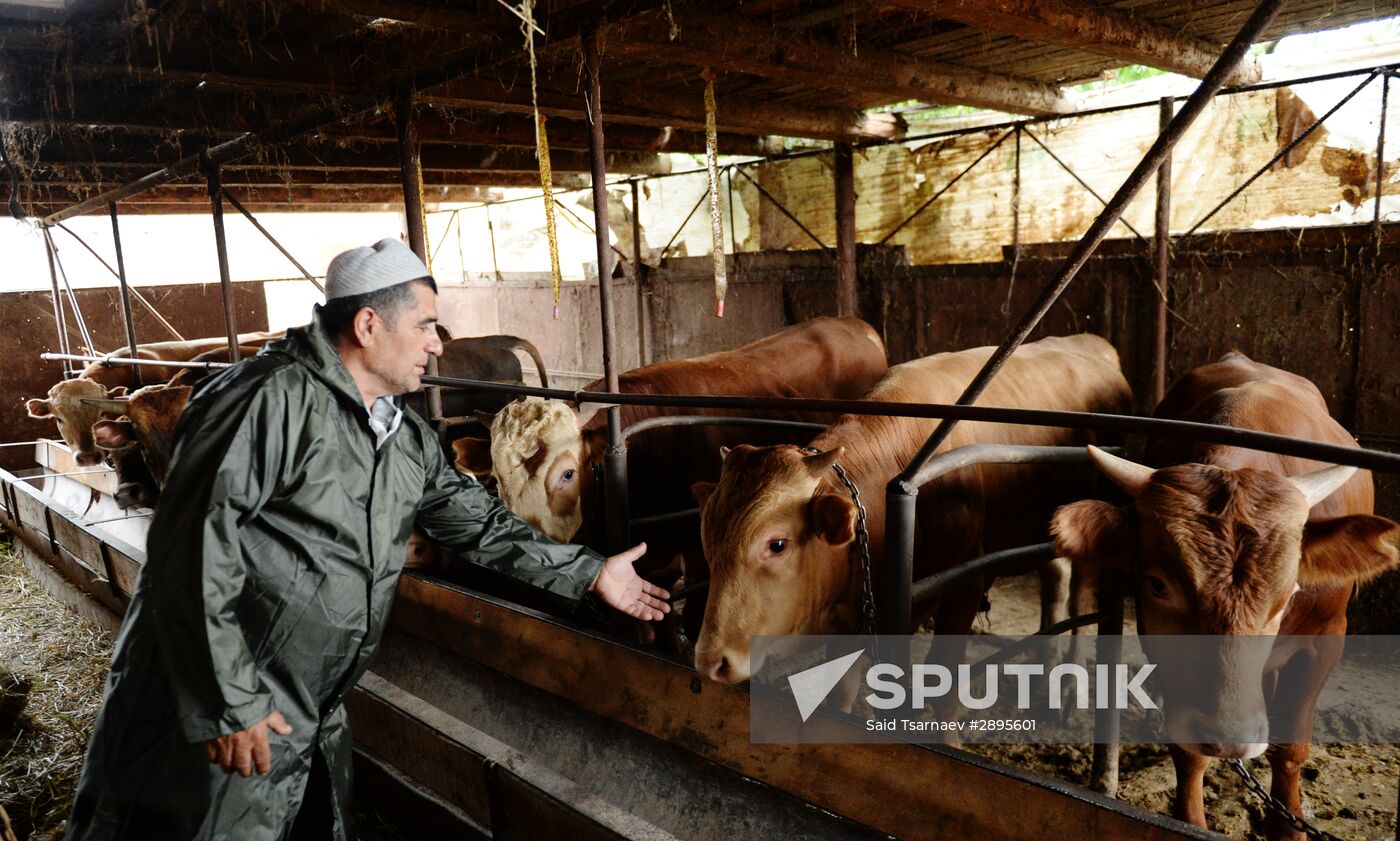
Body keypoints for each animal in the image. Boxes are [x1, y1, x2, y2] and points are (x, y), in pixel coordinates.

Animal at [694, 333, 1131, 682]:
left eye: (777, 545)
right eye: (708, 544)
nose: (711, 661)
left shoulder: (964, 588)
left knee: (1081, 595)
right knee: (1055, 579)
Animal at [1052, 351, 1394, 834]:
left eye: (1290, 591)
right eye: (1158, 584)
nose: (1231, 736)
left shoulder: (1327, 638)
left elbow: (1290, 750)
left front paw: (1289, 826)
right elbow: (1189, 754)